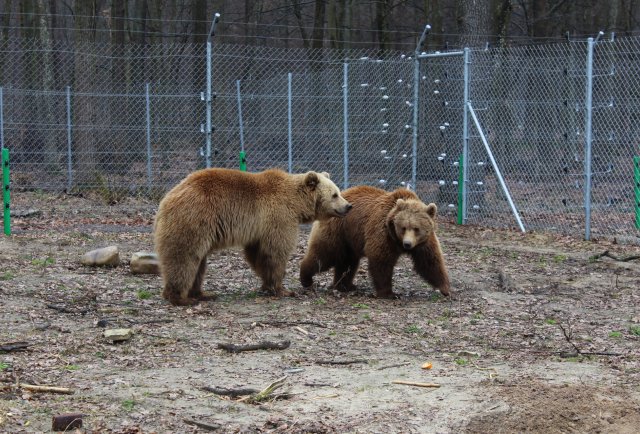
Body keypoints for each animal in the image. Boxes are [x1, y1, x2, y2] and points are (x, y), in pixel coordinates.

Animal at [156, 166, 356, 306]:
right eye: (335, 194)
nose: (348, 206)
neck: (296, 204)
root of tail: (167, 198)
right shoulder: (279, 217)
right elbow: (276, 252)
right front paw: (283, 289)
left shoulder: (259, 230)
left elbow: (258, 255)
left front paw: (267, 285)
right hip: (195, 219)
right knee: (184, 258)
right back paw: (180, 297)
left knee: (199, 263)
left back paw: (202, 294)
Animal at [300, 185, 450, 300]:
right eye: (403, 228)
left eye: (416, 228)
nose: (407, 244)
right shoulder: (383, 232)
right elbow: (381, 259)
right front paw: (389, 293)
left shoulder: (423, 242)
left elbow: (430, 262)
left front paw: (445, 288)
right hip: (338, 230)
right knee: (324, 255)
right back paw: (306, 278)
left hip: (350, 239)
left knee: (347, 261)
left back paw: (345, 285)